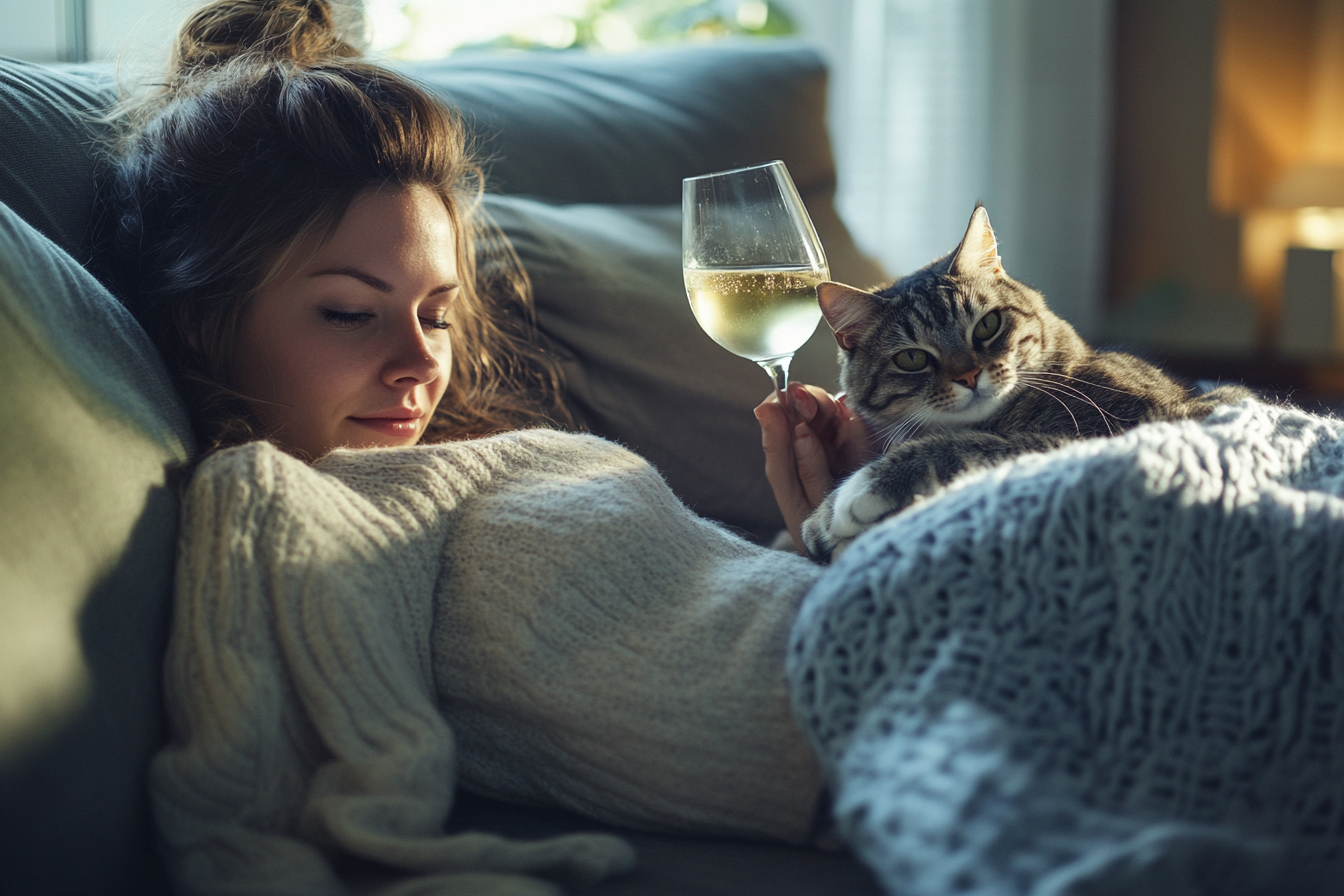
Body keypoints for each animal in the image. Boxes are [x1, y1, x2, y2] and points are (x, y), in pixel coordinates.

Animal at [795, 206, 1247, 564]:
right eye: (912, 358)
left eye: (987, 325)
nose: (968, 376)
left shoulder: (1127, 424)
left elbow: (974, 445)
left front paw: (847, 500)